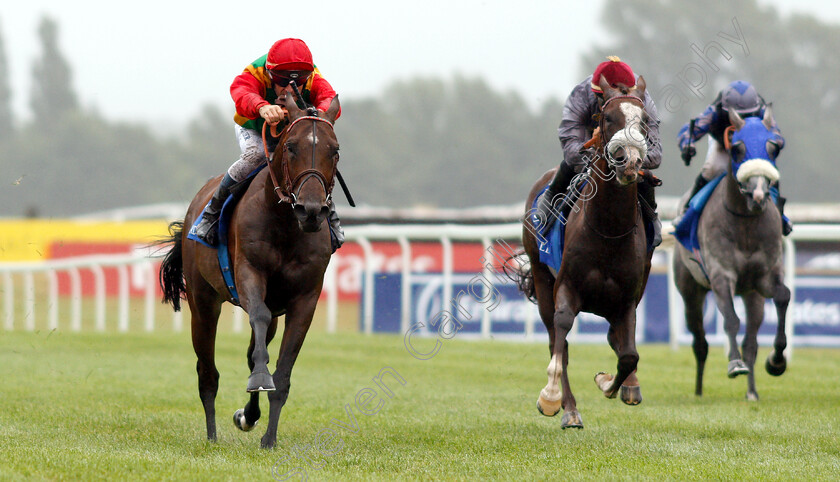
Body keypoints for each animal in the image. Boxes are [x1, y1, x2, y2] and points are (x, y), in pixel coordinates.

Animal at [158, 91, 342, 448]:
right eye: (291, 146)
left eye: (335, 149)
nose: (312, 210)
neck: (286, 225)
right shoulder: (249, 273)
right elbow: (257, 320)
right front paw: (258, 380)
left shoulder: (305, 298)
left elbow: (280, 374)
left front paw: (268, 438)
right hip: (203, 302)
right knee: (207, 373)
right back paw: (212, 436)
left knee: (253, 349)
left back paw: (249, 415)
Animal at [516, 76, 652, 430]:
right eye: (608, 118)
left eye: (645, 121)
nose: (629, 162)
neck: (608, 230)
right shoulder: (567, 285)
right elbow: (561, 336)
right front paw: (551, 398)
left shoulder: (627, 298)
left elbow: (629, 353)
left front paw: (610, 382)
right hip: (541, 277)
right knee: (556, 338)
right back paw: (569, 408)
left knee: (617, 340)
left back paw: (630, 386)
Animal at [672, 107, 792, 402]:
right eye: (737, 148)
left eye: (774, 148)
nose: (759, 194)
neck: (745, 223)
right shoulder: (720, 275)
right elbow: (730, 320)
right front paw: (734, 363)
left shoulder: (765, 277)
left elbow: (783, 296)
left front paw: (777, 361)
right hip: (690, 291)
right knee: (700, 342)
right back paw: (699, 391)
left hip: (752, 296)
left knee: (751, 342)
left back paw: (752, 392)